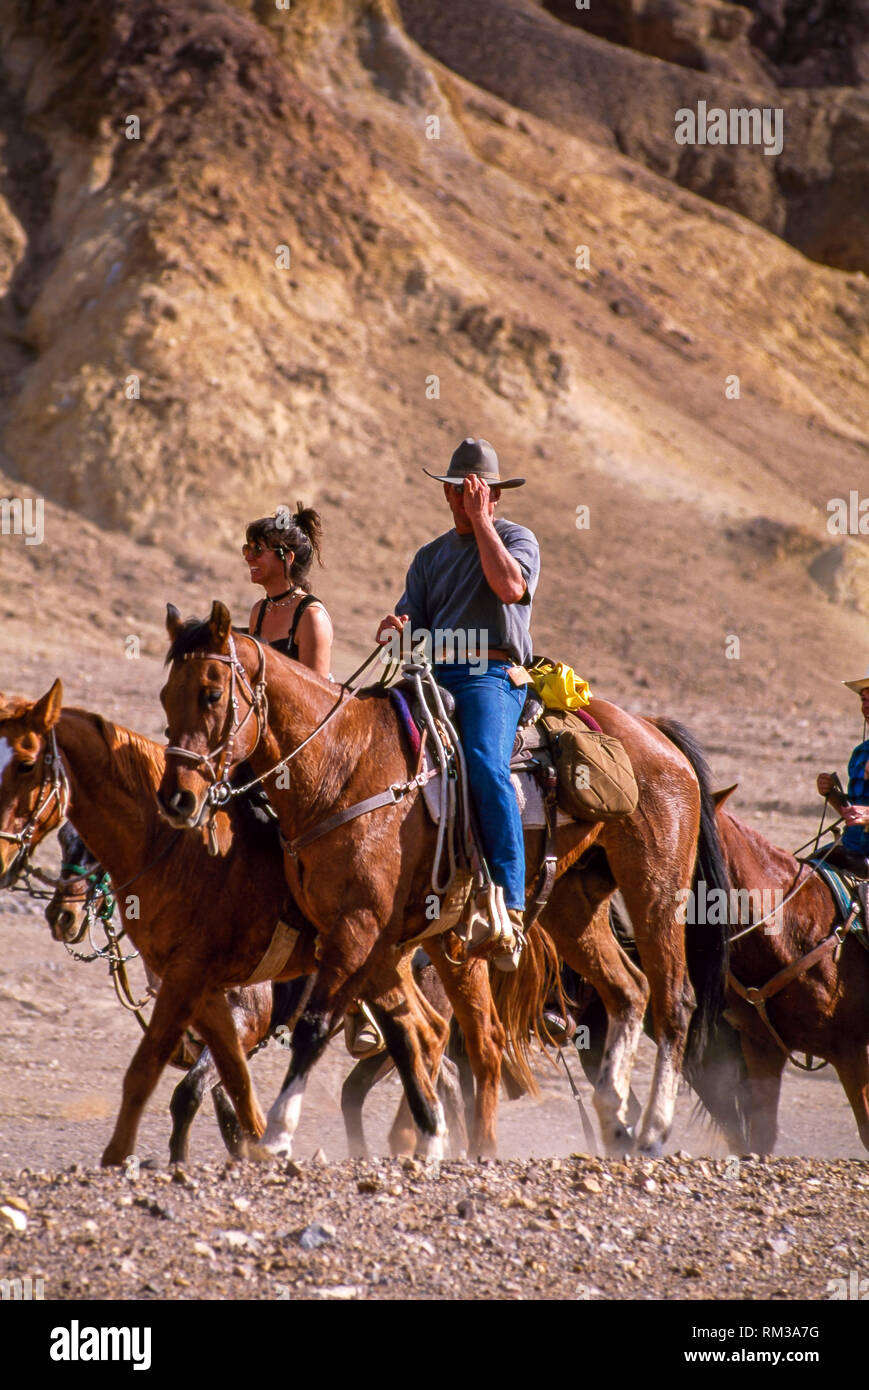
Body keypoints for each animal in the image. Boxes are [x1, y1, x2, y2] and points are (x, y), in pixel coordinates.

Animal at [159, 603, 728, 1156]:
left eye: (211, 693)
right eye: (166, 697)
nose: (176, 798)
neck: (342, 767)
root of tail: (652, 729)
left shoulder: (358, 928)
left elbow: (315, 1027)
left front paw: (278, 1133)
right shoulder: (377, 942)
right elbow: (407, 1035)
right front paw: (428, 1134)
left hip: (655, 888)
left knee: (673, 1001)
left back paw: (653, 1128)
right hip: (573, 903)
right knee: (625, 992)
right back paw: (611, 1119)